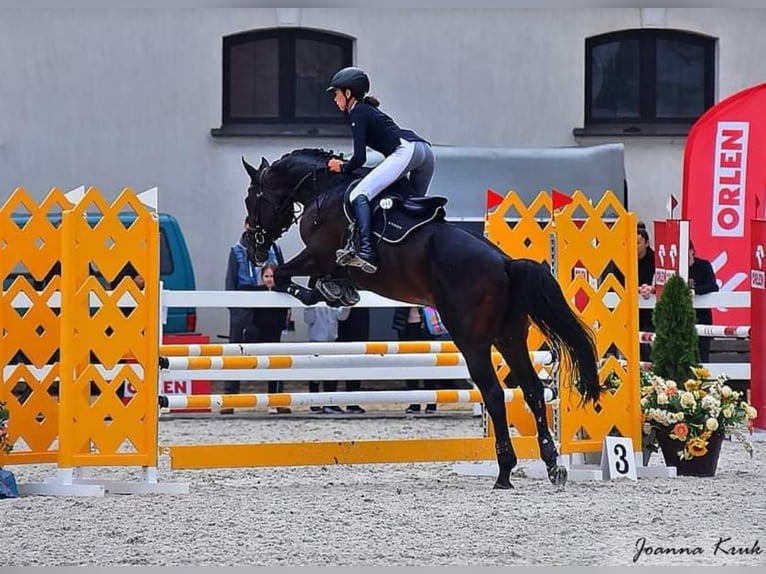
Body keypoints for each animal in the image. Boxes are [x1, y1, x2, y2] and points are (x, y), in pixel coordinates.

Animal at [240, 148, 602, 489]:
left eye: (251, 198)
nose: (251, 246)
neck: (324, 188)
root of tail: (505, 264)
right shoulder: (323, 261)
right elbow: (309, 278)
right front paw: (338, 291)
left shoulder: (317, 255)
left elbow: (284, 274)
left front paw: (319, 292)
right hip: (508, 338)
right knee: (532, 391)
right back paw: (553, 466)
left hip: (473, 342)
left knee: (495, 394)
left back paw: (504, 471)